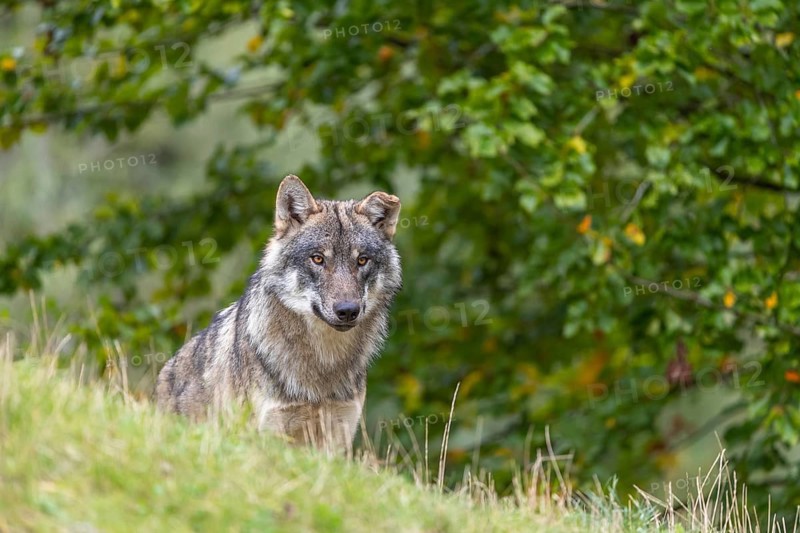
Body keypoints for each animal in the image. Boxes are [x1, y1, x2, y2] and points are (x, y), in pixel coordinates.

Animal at [155, 175, 402, 451]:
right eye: (318, 259)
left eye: (362, 260)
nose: (348, 311)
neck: (323, 363)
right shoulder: (266, 433)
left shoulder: (338, 436)